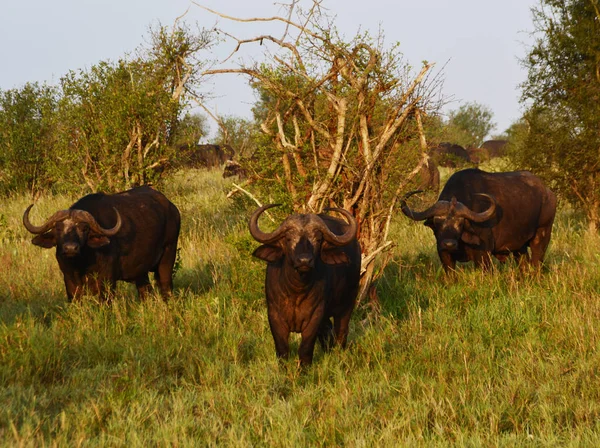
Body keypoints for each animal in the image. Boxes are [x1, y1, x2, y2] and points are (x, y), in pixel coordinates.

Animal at [22, 186, 180, 300]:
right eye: (58, 228)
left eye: (84, 229)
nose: (70, 248)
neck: (81, 264)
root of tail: (172, 208)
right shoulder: (69, 279)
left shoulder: (107, 280)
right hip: (141, 271)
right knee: (145, 292)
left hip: (168, 256)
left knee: (166, 287)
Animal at [250, 205, 360, 366]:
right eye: (288, 238)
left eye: (318, 239)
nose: (304, 261)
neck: (297, 291)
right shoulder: (274, 316)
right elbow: (282, 349)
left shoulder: (315, 316)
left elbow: (306, 348)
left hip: (347, 304)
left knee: (341, 333)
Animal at [400, 168, 556, 272]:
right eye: (438, 222)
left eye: (460, 223)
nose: (449, 244)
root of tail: (548, 193)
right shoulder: (443, 254)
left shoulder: (483, 255)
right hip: (519, 247)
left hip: (542, 235)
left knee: (537, 261)